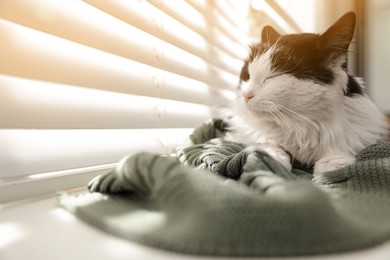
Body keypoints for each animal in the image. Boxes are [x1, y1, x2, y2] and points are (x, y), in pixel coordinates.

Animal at [229, 11, 386, 175]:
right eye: (247, 76)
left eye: (273, 76)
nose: (246, 95)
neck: (302, 125)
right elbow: (267, 144)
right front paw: (269, 161)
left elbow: (338, 153)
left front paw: (329, 170)